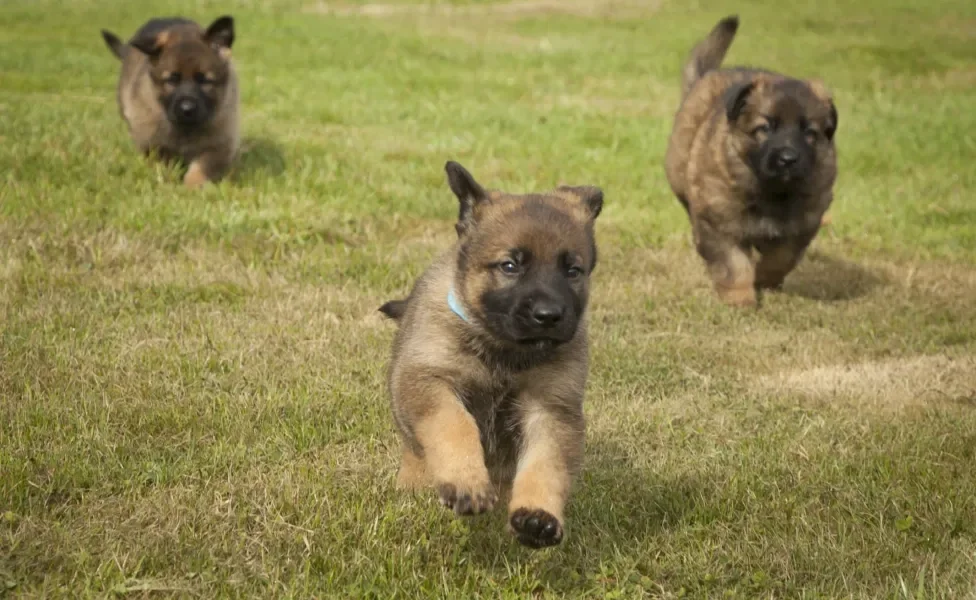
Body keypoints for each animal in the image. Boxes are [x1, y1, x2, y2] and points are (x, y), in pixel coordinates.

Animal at [101, 16, 240, 186]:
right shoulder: (151, 142)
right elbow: (164, 161)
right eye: (172, 80)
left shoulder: (220, 143)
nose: (187, 109)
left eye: (204, 80)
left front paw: (192, 186)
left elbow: (202, 166)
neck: (185, 129)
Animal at [380, 161, 604, 548]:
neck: (504, 352)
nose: (548, 315)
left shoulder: (551, 407)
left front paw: (537, 515)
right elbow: (453, 423)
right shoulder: (428, 378)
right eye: (510, 266)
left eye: (572, 270)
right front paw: (464, 481)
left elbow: (547, 463)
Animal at [664, 16, 840, 308]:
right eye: (765, 128)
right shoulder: (719, 223)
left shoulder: (803, 225)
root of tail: (708, 75)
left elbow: (781, 258)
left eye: (809, 133)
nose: (788, 159)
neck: (771, 191)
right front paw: (740, 299)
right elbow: (734, 265)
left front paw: (766, 281)